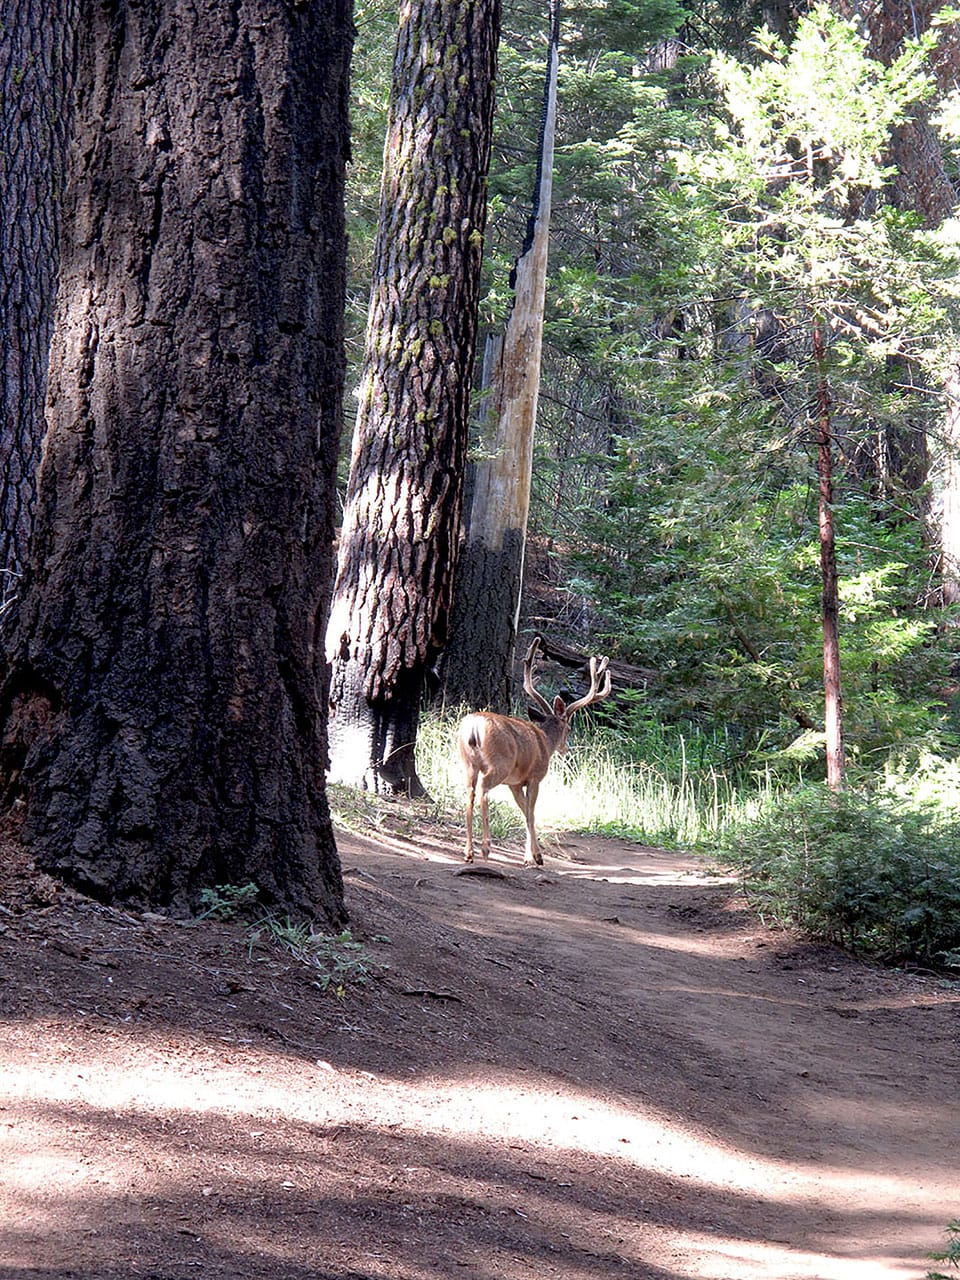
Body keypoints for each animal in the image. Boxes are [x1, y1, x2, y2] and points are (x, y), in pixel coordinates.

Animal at [458, 636, 612, 867]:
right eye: (568, 728)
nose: (566, 748)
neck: (545, 742)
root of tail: (474, 728)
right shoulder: (535, 777)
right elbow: (531, 813)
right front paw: (536, 856)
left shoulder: (514, 784)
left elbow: (524, 812)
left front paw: (528, 856)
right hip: (499, 764)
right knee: (484, 789)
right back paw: (485, 848)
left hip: (468, 763)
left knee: (469, 792)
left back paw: (469, 852)